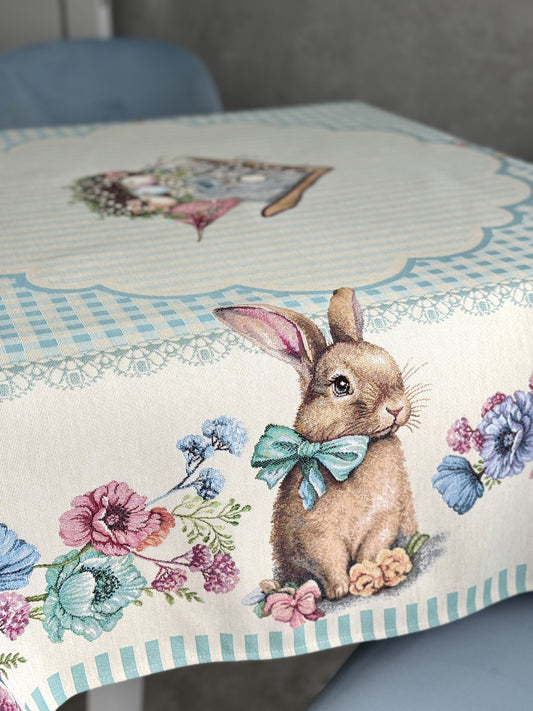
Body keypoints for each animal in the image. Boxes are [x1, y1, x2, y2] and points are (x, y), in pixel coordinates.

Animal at [214, 287, 418, 600]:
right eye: (341, 385)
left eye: (390, 362)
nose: (396, 407)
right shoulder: (314, 535)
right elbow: (328, 560)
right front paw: (340, 590)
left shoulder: (385, 520)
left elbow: (371, 551)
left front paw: (370, 578)